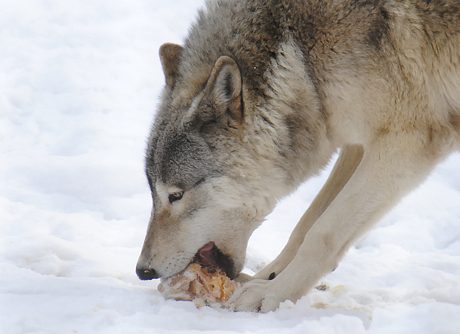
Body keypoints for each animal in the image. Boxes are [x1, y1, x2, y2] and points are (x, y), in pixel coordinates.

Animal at [136, 0, 460, 314]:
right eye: (153, 194)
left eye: (176, 195)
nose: (143, 271)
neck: (303, 60)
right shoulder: (357, 143)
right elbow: (305, 225)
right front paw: (266, 278)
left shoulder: (406, 143)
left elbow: (323, 232)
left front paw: (273, 293)